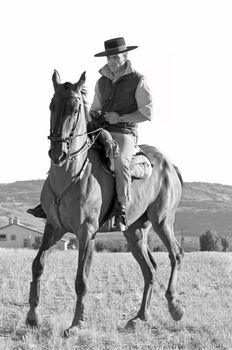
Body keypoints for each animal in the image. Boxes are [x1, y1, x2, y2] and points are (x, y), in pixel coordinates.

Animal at [25, 70, 185, 336]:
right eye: (51, 105)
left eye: (75, 108)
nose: (58, 153)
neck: (70, 173)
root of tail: (169, 164)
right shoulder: (54, 228)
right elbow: (38, 264)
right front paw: (32, 317)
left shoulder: (86, 232)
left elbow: (81, 279)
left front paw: (76, 324)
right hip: (134, 231)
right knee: (149, 270)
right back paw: (139, 318)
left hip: (162, 220)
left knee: (176, 255)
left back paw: (175, 307)